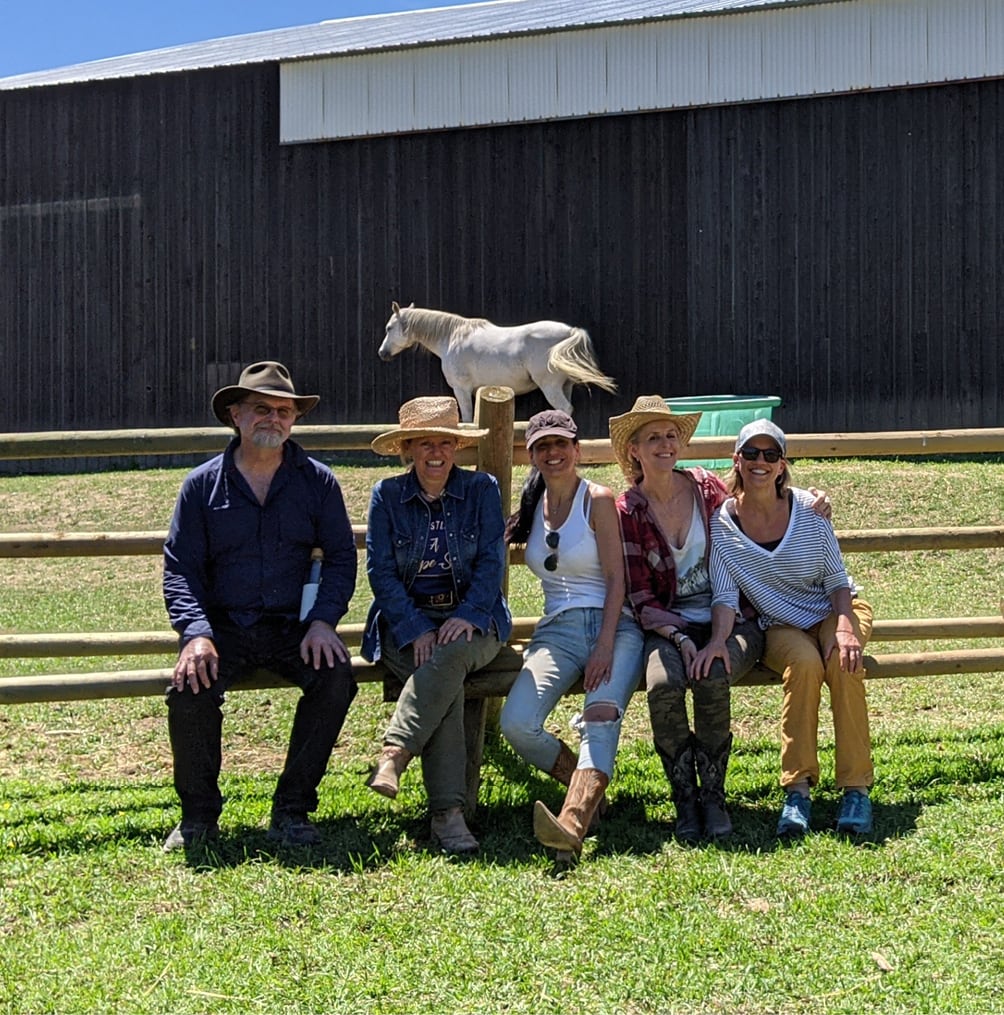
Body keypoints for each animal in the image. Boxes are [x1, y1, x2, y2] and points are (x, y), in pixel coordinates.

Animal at [375, 300, 613, 420]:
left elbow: (467, 420)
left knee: (565, 409)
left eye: (389, 328)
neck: (451, 337)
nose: (382, 353)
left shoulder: (461, 389)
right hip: (565, 386)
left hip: (551, 387)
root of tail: (570, 331)